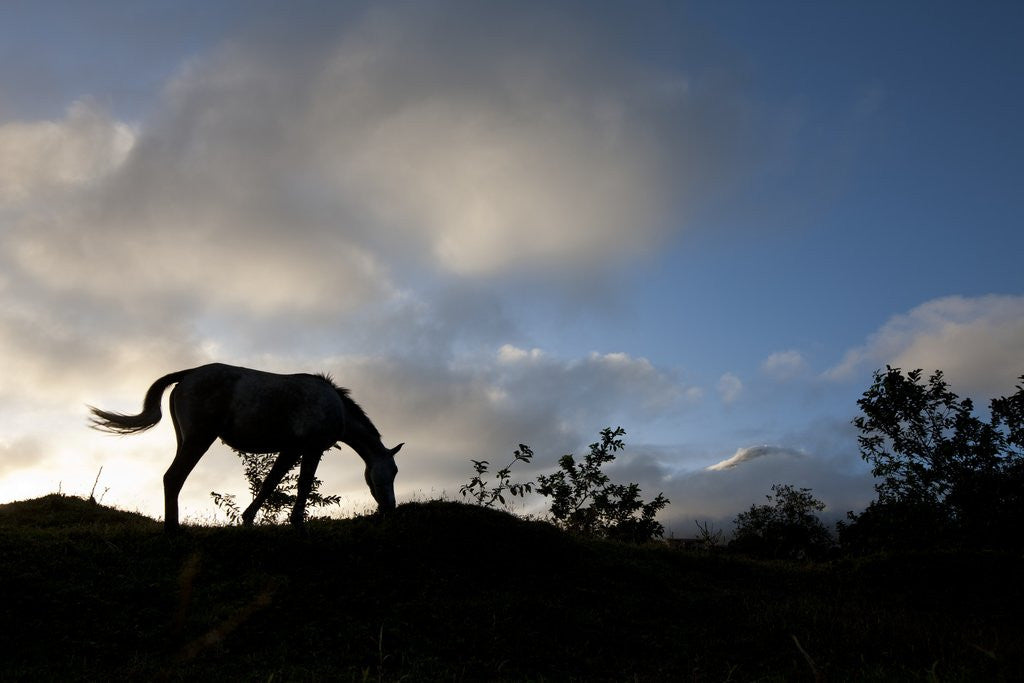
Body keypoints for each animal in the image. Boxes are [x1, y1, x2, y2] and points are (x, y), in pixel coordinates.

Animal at [89, 363, 403, 532]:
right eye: (393, 472)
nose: (390, 509)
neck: (334, 406)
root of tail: (189, 374)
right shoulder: (308, 449)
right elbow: (301, 486)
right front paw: (298, 524)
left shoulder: (290, 450)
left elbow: (269, 483)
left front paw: (248, 519)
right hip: (199, 439)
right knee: (174, 477)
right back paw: (173, 530)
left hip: (186, 440)